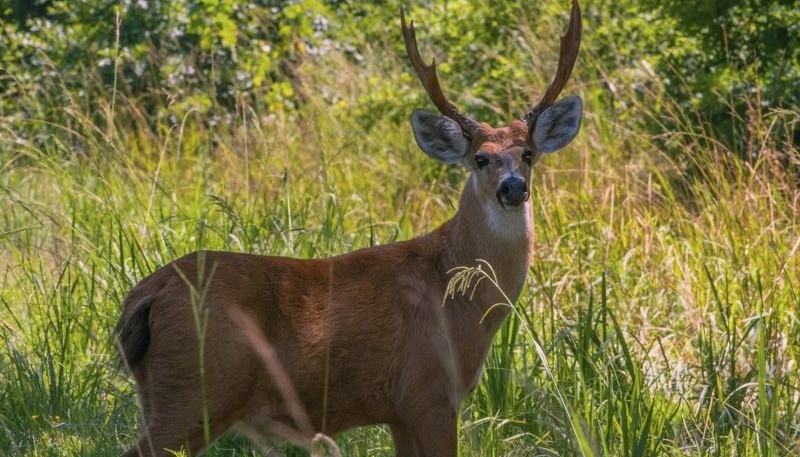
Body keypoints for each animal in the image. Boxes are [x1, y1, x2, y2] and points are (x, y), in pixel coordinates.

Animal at [115, 1, 580, 454]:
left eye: (528, 154)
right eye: (480, 158)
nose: (513, 187)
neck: (457, 295)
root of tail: (145, 294)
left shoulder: (398, 411)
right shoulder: (429, 391)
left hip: (166, 394)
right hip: (196, 393)